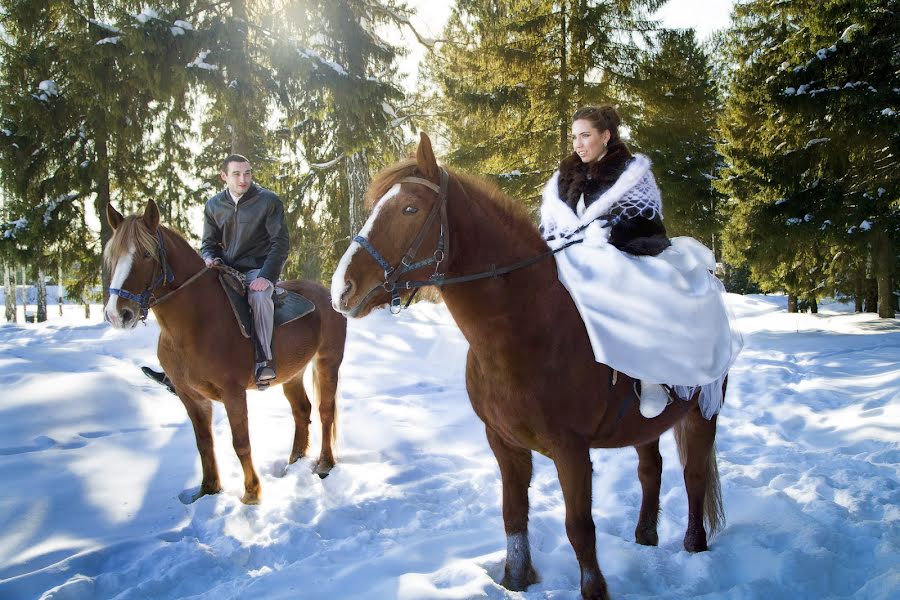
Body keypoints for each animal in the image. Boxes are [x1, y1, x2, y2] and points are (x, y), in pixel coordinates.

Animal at [103, 200, 344, 502]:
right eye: (113, 256)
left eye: (146, 254)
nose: (117, 314)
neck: (195, 325)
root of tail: (326, 294)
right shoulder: (190, 396)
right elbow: (204, 442)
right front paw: (208, 490)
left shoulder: (233, 393)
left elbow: (240, 442)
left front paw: (251, 494)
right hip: (293, 374)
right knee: (302, 410)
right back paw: (294, 463)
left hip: (328, 361)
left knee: (325, 410)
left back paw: (324, 464)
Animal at [330, 136, 724, 600]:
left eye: (409, 208)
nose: (341, 289)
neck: (528, 330)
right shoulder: (504, 443)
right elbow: (513, 514)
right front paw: (516, 579)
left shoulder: (571, 451)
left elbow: (579, 527)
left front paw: (594, 590)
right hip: (644, 425)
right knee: (651, 469)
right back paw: (645, 535)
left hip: (703, 413)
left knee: (694, 474)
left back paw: (694, 544)